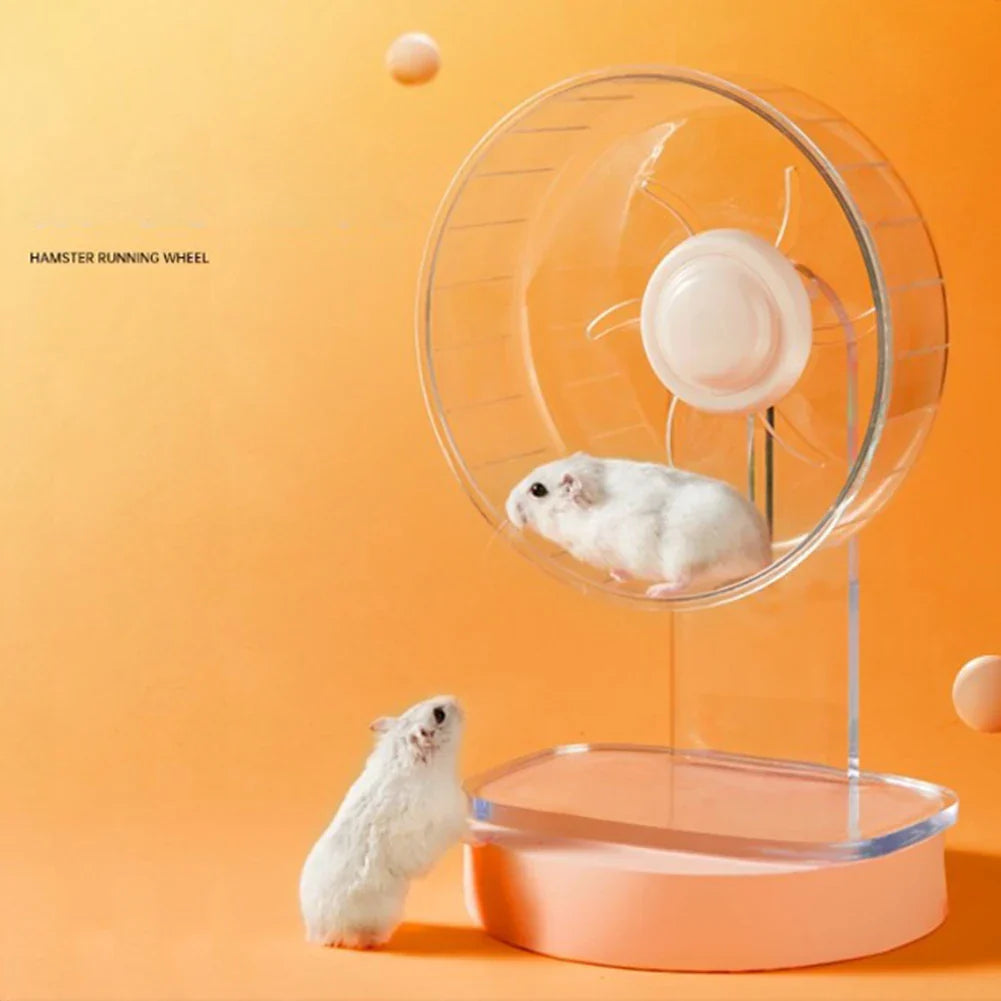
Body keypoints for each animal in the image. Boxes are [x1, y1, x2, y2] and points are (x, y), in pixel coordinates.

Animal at [506, 453, 771, 597]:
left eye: (537, 489)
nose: (507, 508)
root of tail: (764, 554)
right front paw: (615, 574)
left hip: (683, 553)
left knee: (683, 581)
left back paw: (654, 592)